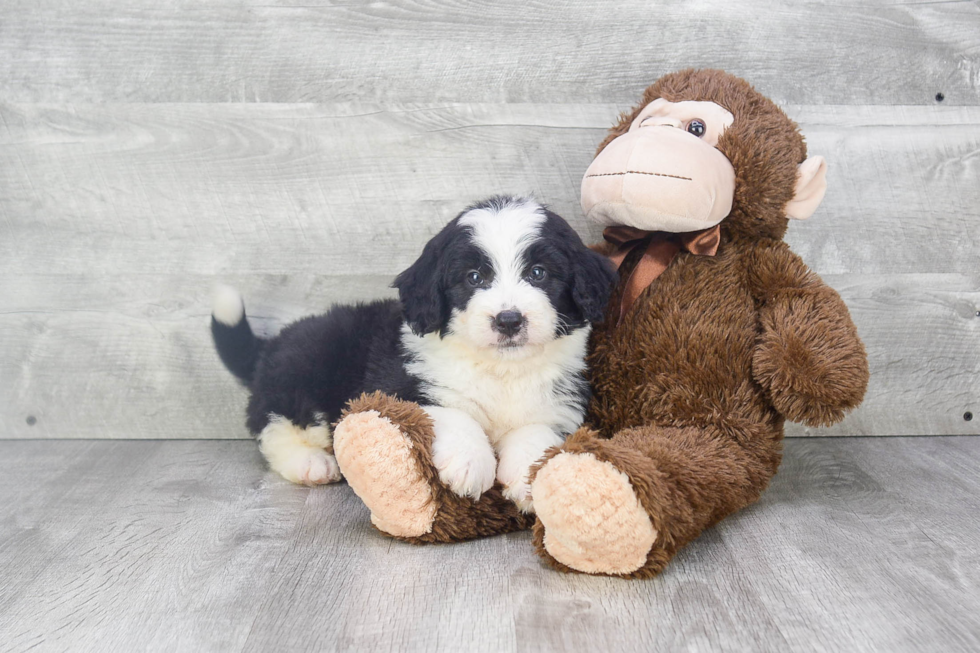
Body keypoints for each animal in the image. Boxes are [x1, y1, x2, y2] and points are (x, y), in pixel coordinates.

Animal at [212, 196, 616, 512]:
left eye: (539, 273)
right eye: (473, 277)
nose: (509, 319)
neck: (501, 370)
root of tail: (271, 345)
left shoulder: (560, 404)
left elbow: (534, 431)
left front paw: (527, 476)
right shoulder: (402, 385)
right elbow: (454, 413)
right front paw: (470, 463)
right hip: (303, 368)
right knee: (276, 423)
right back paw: (311, 463)